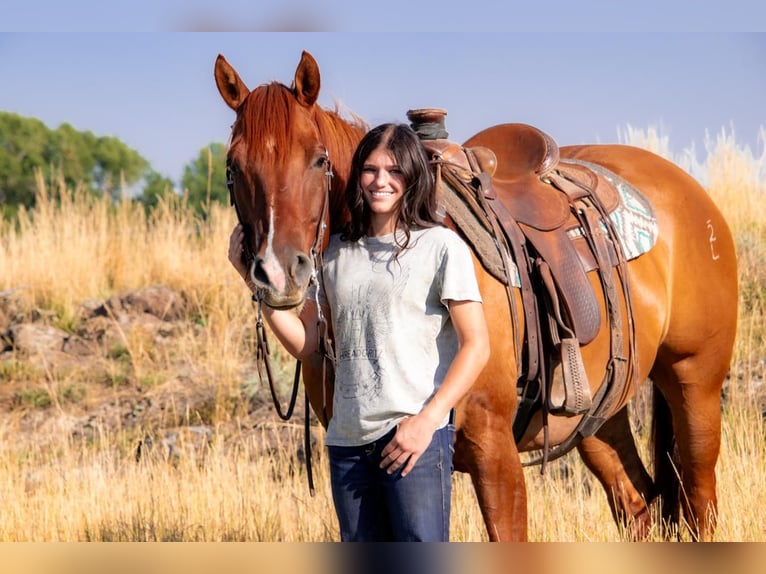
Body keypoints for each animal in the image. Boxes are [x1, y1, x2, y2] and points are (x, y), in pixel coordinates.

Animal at [213, 51, 740, 544]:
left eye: (319, 160)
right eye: (234, 167)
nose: (278, 273)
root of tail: (691, 193)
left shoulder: (494, 453)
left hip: (695, 384)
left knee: (700, 504)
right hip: (597, 417)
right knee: (636, 504)